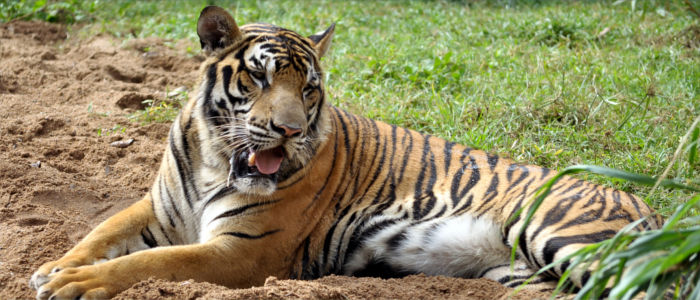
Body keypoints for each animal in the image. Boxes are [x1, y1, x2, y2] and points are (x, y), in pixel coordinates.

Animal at [28, 5, 660, 300]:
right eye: (259, 78)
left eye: (309, 88)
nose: (286, 131)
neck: (214, 156)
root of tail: (654, 210)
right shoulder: (159, 209)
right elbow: (101, 233)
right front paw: (55, 267)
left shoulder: (242, 251)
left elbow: (152, 263)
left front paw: (74, 283)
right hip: (522, 274)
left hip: (562, 234)